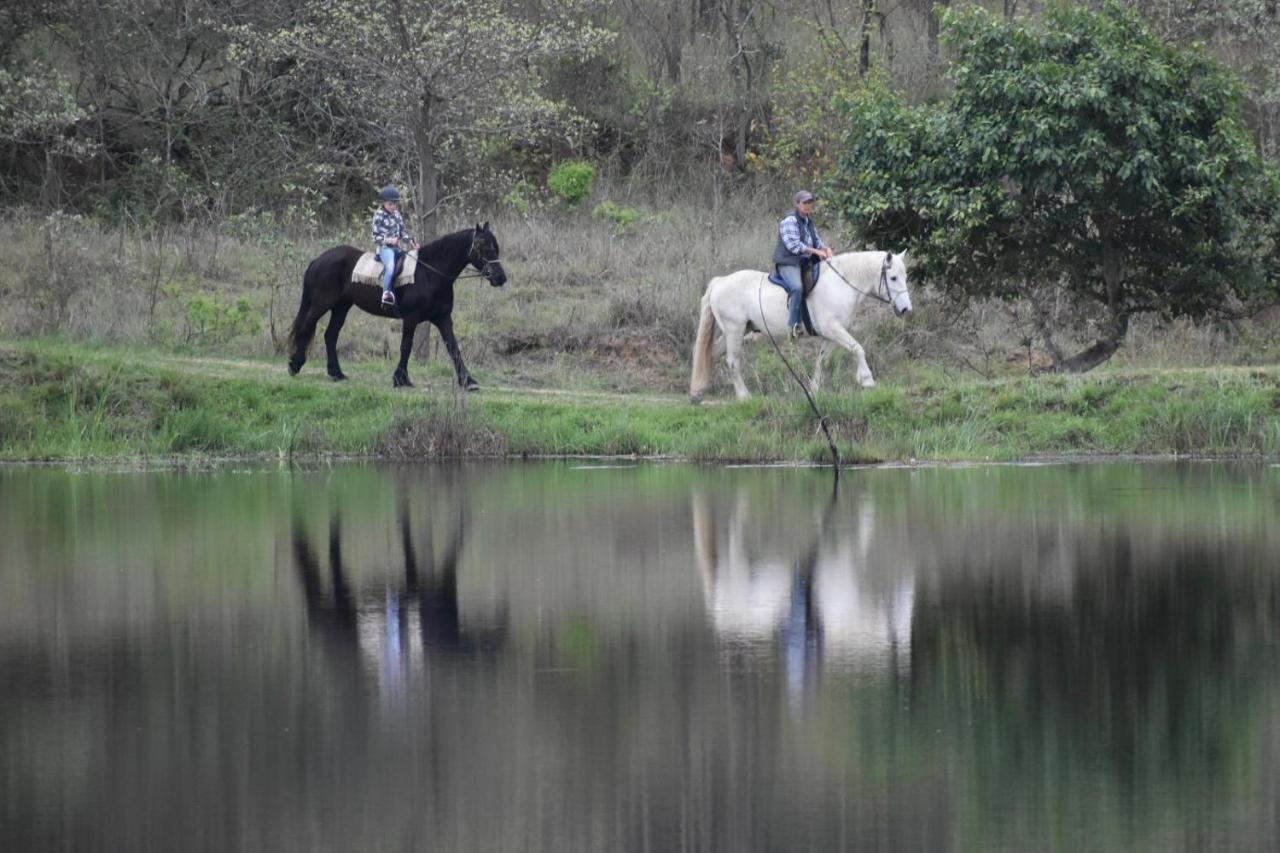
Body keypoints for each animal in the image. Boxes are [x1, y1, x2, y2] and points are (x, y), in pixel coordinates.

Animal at [289, 222, 504, 389]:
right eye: (482, 246)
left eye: (495, 246)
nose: (501, 278)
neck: (430, 273)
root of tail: (318, 260)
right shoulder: (411, 318)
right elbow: (406, 346)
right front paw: (400, 379)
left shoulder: (443, 318)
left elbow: (453, 348)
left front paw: (468, 381)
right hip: (321, 303)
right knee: (306, 326)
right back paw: (295, 365)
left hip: (342, 306)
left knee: (330, 335)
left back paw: (336, 373)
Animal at [691, 249, 911, 402]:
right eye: (893, 278)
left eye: (905, 277)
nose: (906, 309)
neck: (841, 285)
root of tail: (719, 282)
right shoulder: (834, 329)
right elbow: (858, 348)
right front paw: (867, 380)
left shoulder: (831, 335)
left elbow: (821, 361)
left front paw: (814, 391)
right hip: (734, 331)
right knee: (732, 362)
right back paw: (744, 396)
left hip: (737, 331)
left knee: (710, 356)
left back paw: (698, 392)